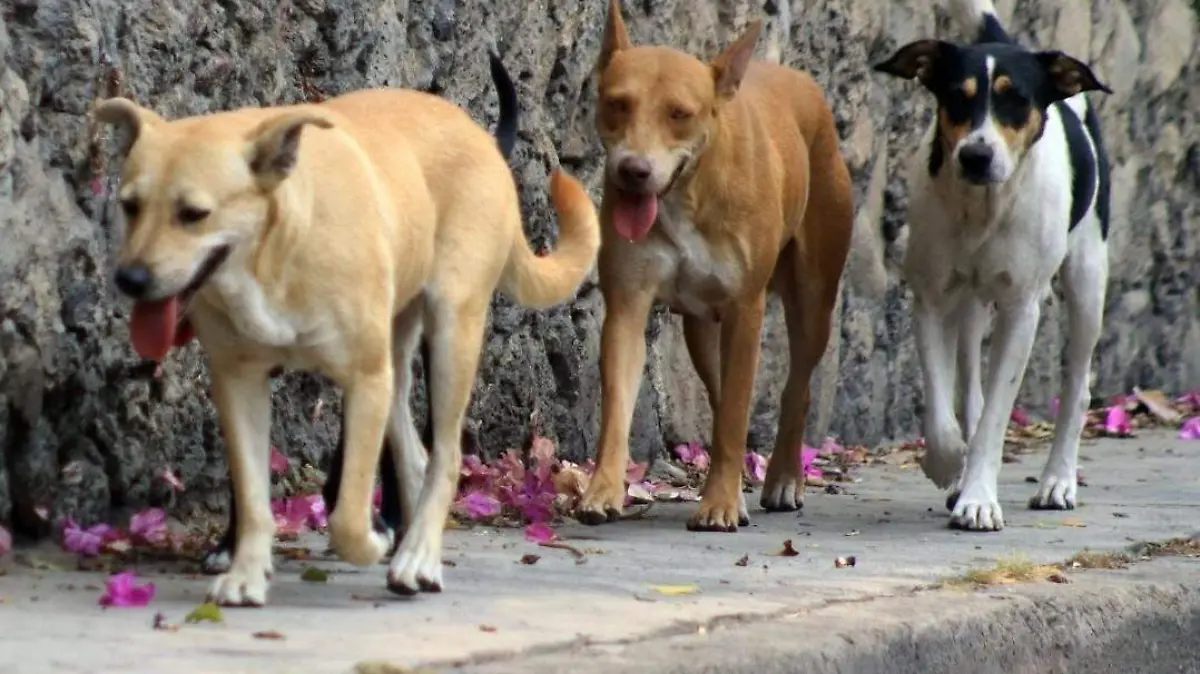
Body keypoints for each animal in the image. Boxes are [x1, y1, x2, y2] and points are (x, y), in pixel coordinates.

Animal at [93, 57, 600, 599]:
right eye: (129, 205)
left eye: (193, 214)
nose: (130, 279)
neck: (277, 245)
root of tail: (479, 136)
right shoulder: (240, 381)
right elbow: (252, 495)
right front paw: (245, 572)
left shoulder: (364, 379)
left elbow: (348, 515)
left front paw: (368, 541)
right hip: (396, 349)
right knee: (413, 452)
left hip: (449, 334)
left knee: (444, 456)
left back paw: (417, 556)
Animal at [580, 1, 864, 530]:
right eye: (618, 103)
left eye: (679, 114)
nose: (633, 170)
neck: (688, 192)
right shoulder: (627, 306)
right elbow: (617, 408)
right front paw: (602, 490)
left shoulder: (745, 310)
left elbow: (735, 413)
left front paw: (721, 504)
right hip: (701, 329)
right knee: (717, 390)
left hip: (813, 297)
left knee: (797, 385)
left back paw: (783, 478)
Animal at [873, 0, 1113, 530]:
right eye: (956, 99)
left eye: (1016, 100)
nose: (976, 156)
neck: (984, 208)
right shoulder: (932, 300)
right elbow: (942, 408)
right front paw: (948, 465)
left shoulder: (1022, 309)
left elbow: (996, 417)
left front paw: (978, 498)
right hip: (970, 301)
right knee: (969, 381)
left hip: (1087, 280)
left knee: (1078, 386)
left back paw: (1057, 481)